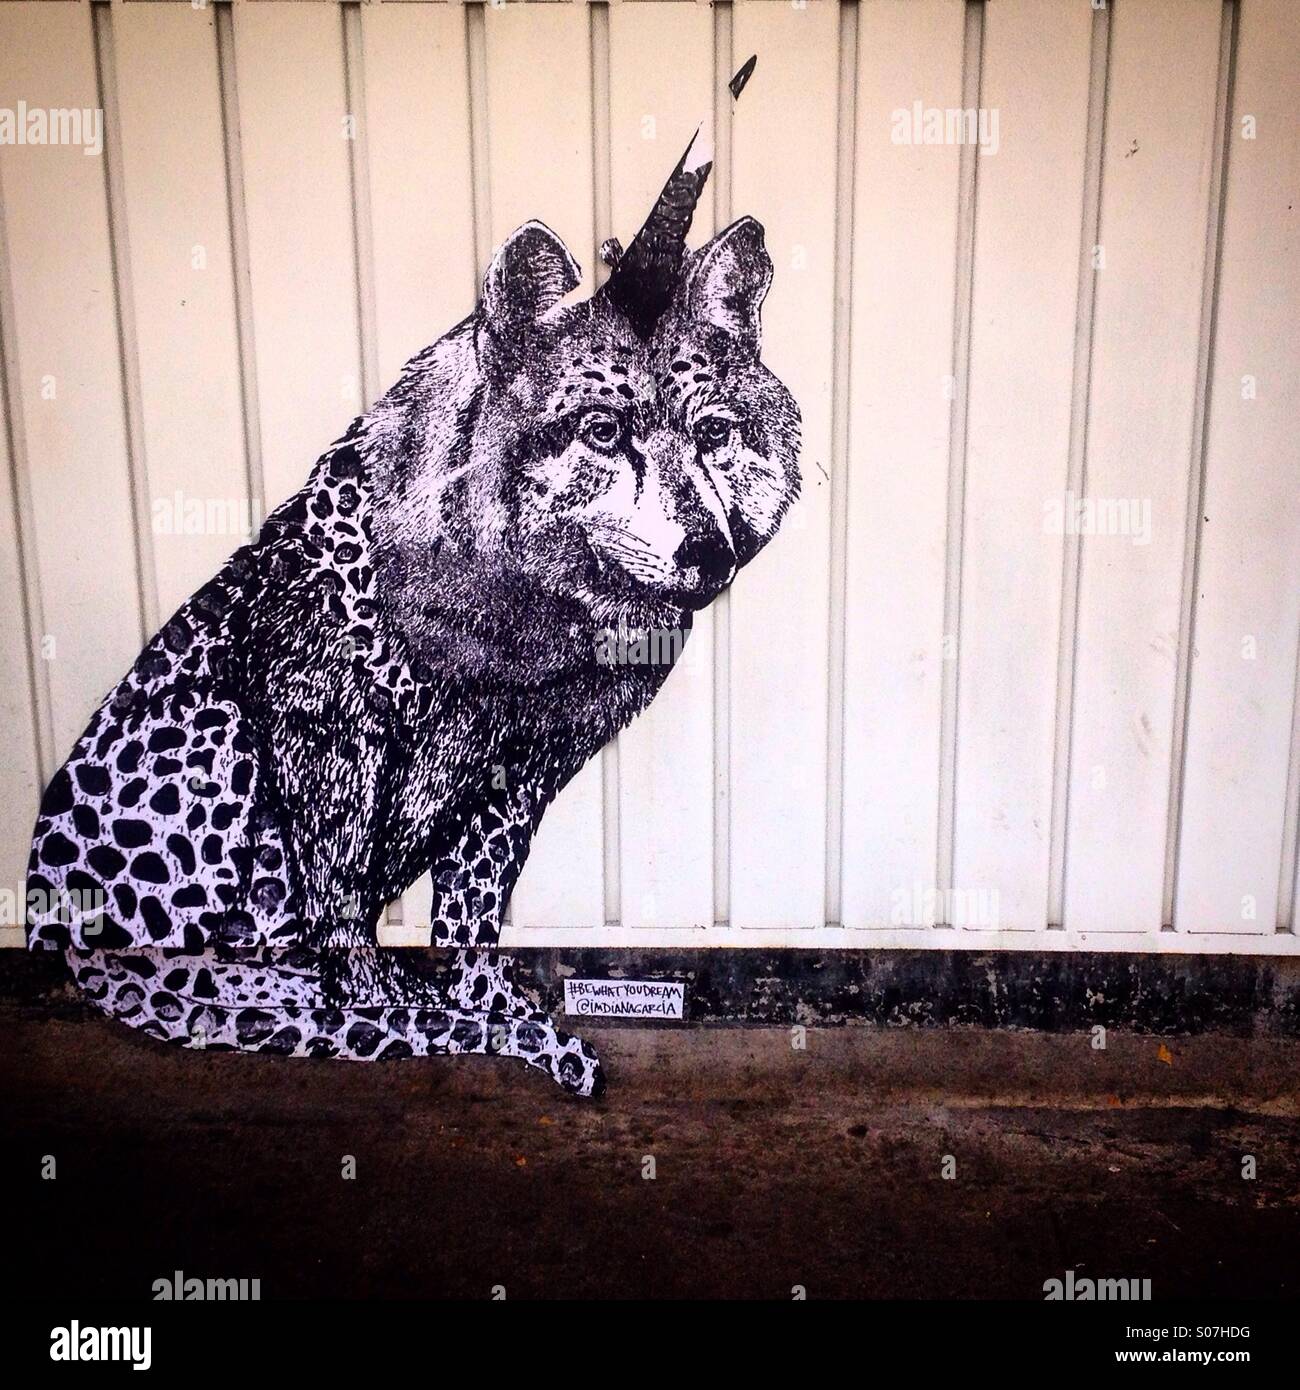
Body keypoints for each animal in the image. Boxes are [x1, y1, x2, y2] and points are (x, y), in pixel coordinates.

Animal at [25, 79, 801, 1097]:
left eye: (713, 433)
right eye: (604, 431)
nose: (711, 553)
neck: (526, 634)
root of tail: (69, 944)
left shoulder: (523, 771)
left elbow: (471, 915)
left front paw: (484, 1002)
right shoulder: (325, 734)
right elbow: (343, 906)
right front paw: (389, 1001)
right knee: (235, 960)